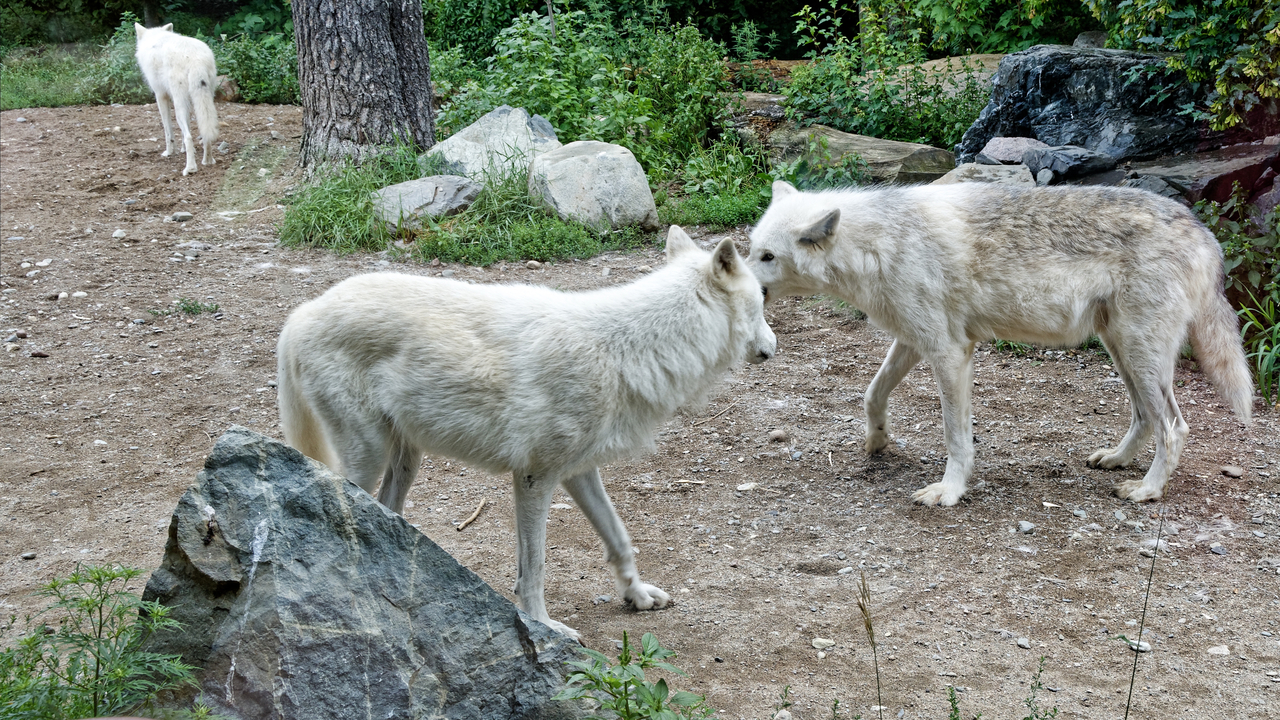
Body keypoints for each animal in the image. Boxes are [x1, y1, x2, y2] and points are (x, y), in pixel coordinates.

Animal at [134, 23, 220, 176]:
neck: (155, 38)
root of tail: (196, 60)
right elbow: (188, 127)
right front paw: (183, 150)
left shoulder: (161, 95)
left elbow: (168, 130)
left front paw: (169, 152)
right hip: (204, 99)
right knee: (205, 132)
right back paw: (207, 161)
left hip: (179, 105)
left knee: (189, 137)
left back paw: (190, 168)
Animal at [276, 227, 775, 639]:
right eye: (763, 303)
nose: (774, 346)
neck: (625, 349)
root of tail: (301, 313)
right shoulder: (534, 477)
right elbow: (533, 566)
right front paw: (543, 625)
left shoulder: (578, 472)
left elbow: (619, 538)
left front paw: (637, 596)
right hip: (367, 456)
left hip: (405, 460)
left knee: (386, 512)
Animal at [749, 180, 1252, 507]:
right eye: (752, 250)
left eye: (768, 257)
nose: (743, 287)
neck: (877, 244)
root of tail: (1204, 232)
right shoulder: (913, 340)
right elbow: (872, 394)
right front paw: (877, 441)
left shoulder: (950, 353)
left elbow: (956, 437)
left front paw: (949, 491)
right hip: (1122, 351)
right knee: (1146, 418)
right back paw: (1117, 460)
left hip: (1139, 355)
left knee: (1174, 426)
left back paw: (1148, 490)